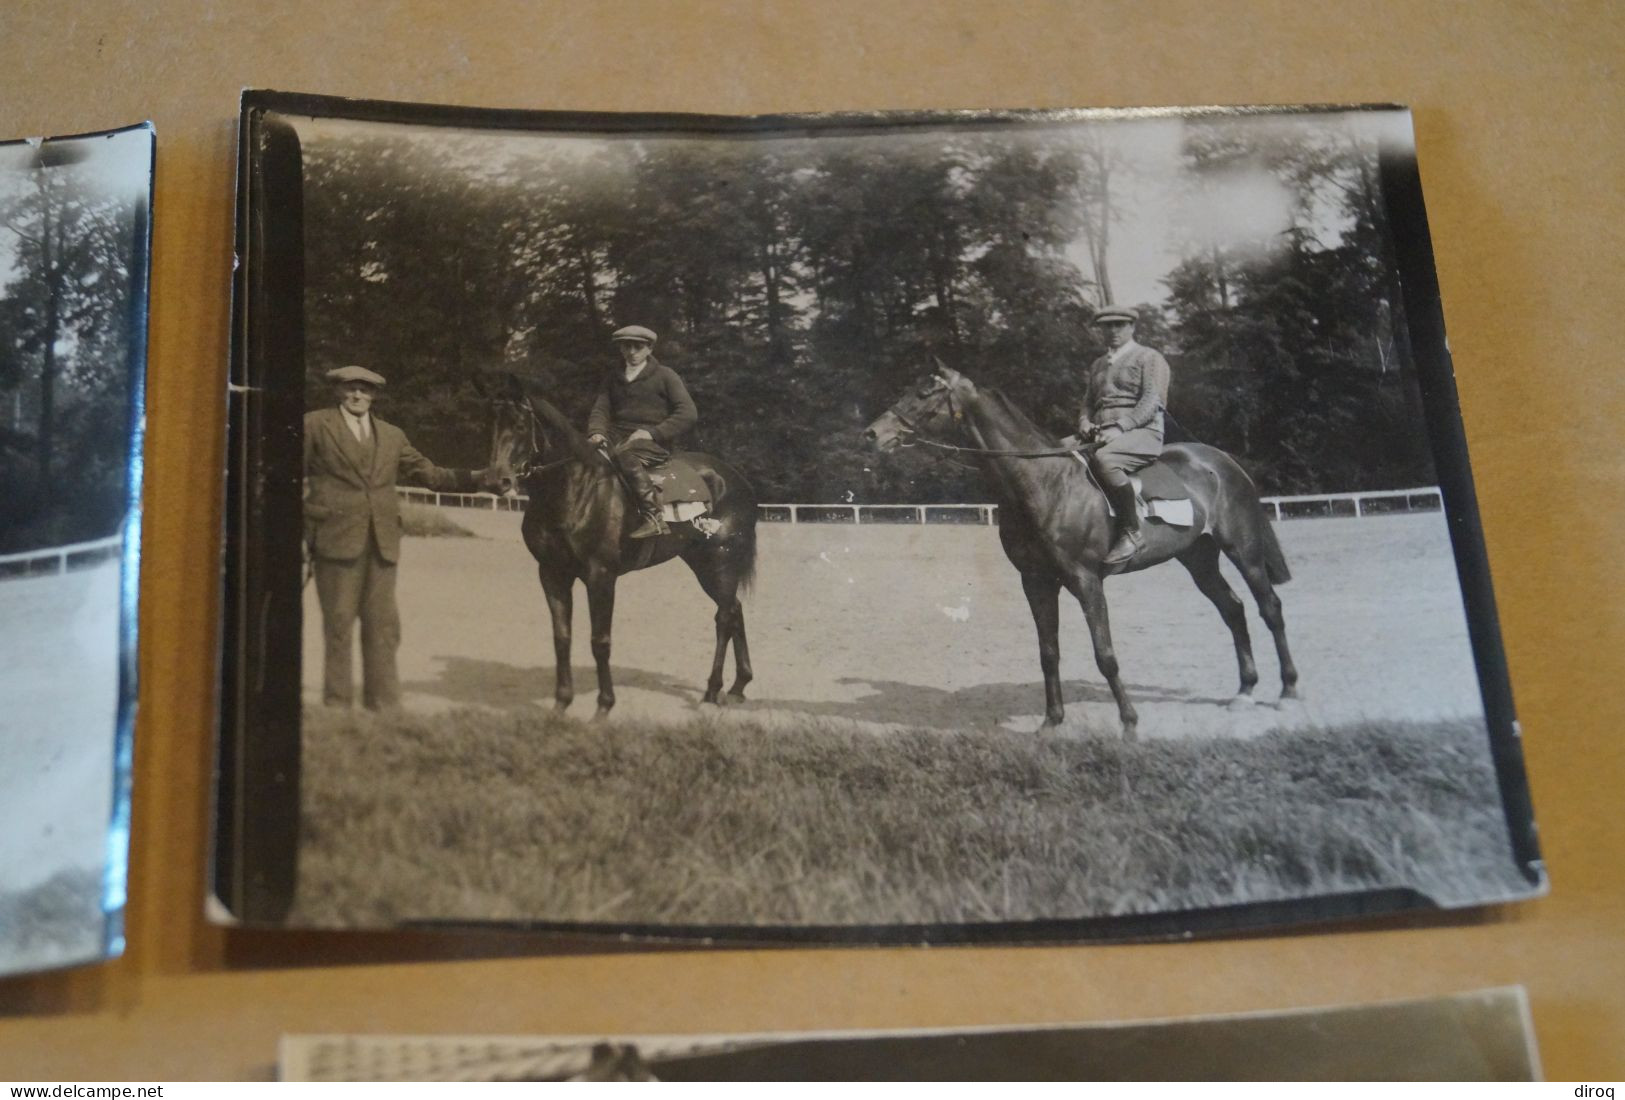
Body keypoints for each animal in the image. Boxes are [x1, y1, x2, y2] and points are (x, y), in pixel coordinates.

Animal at [871, 368, 1300, 737]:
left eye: (924, 392)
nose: (873, 433)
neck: (1045, 483)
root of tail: (1222, 461)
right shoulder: (1036, 582)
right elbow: (1048, 652)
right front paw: (1051, 722)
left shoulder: (1086, 580)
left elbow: (1104, 654)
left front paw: (1129, 723)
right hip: (1198, 558)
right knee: (1233, 609)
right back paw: (1244, 692)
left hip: (1242, 550)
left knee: (1270, 608)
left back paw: (1288, 692)